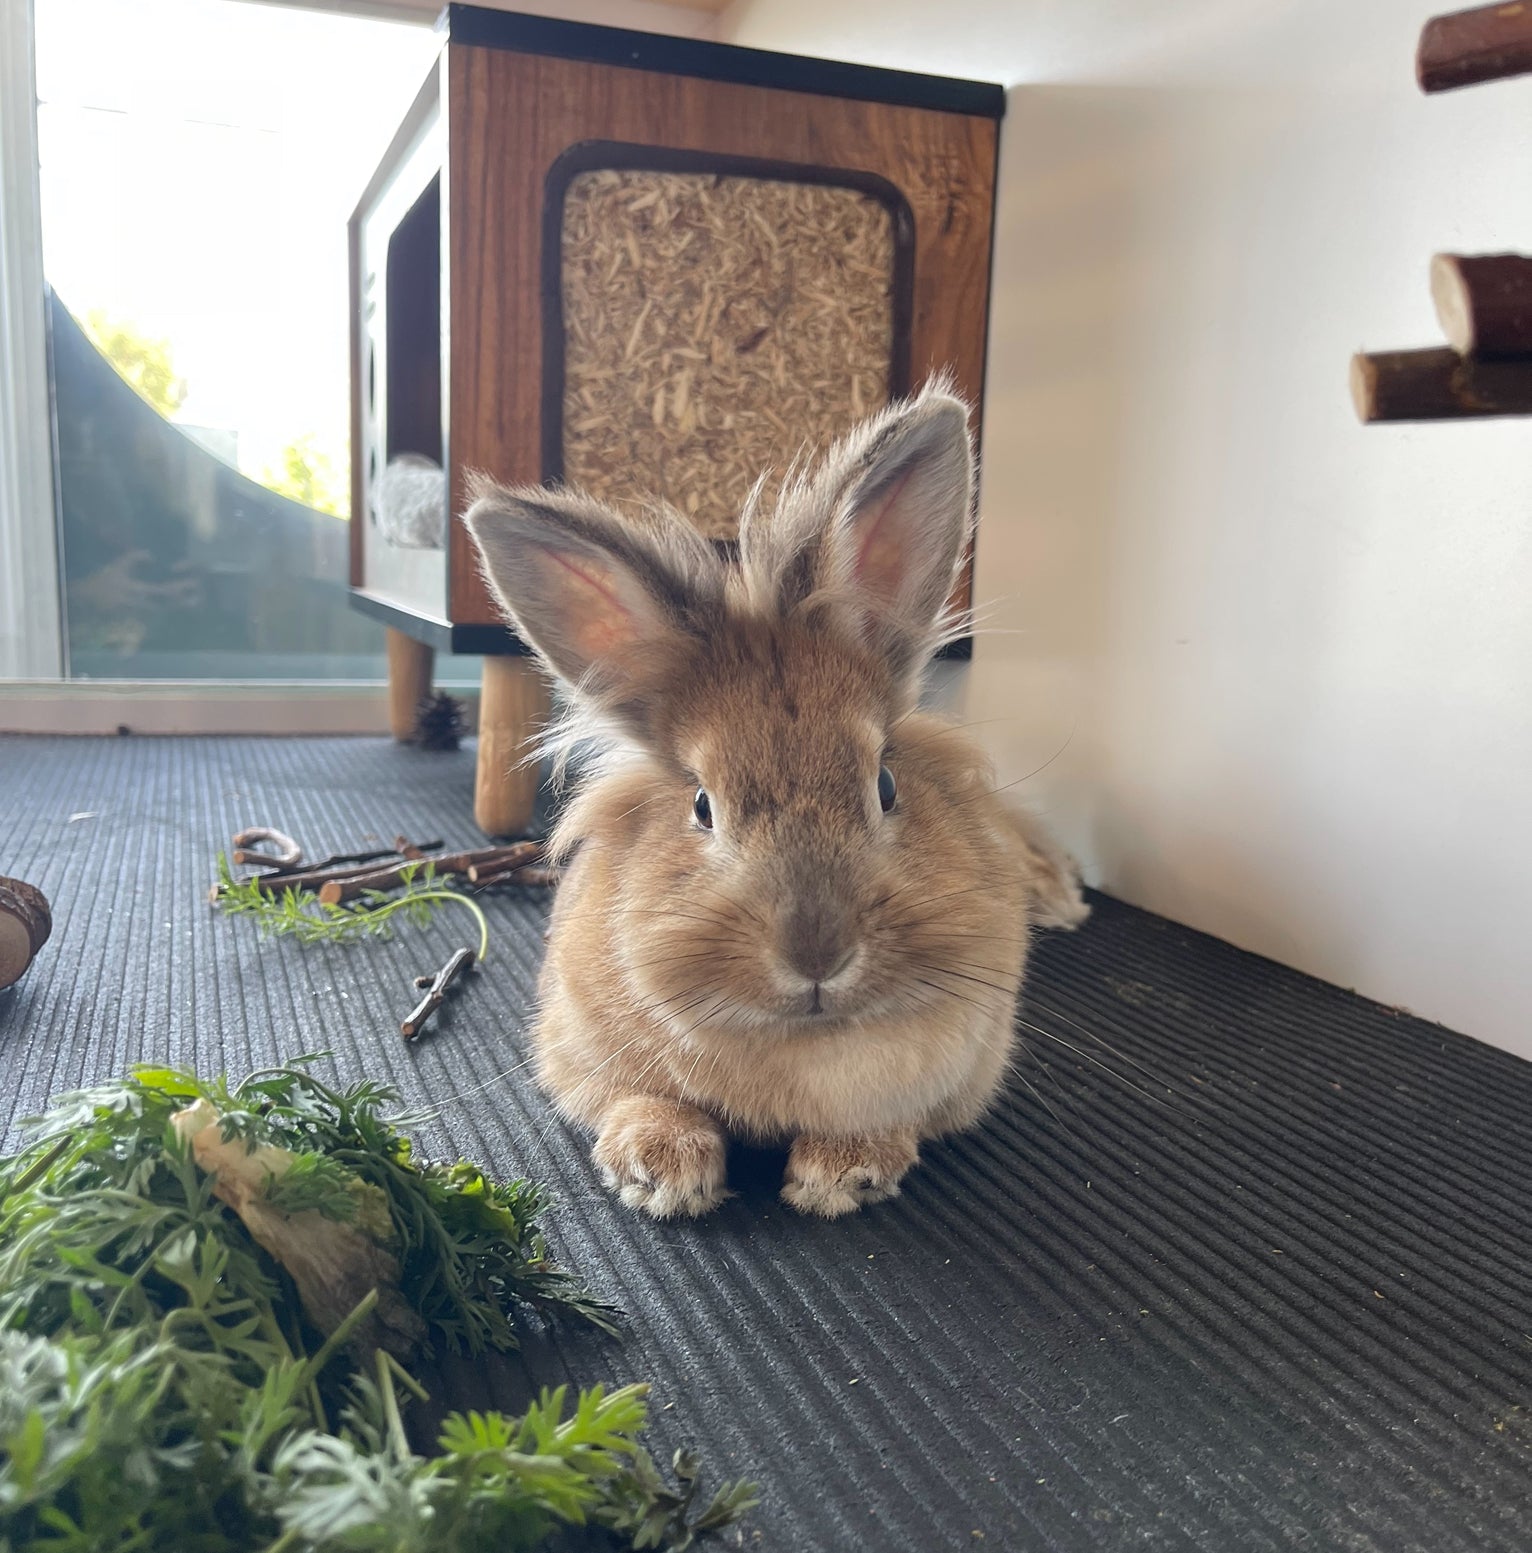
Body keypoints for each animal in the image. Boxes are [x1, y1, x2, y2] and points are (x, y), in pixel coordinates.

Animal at [463, 379, 1087, 1219]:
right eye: (703, 804)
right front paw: (659, 1170)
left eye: (884, 784)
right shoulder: (580, 1051)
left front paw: (842, 1174)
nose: (817, 954)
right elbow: (640, 1098)